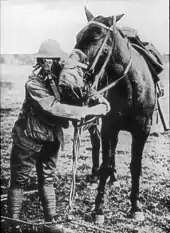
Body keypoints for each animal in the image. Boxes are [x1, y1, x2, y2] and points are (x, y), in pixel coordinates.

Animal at [57, 7, 156, 222]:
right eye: (77, 36)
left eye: (95, 37)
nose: (68, 77)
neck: (131, 88)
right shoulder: (109, 127)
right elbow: (105, 163)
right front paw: (98, 209)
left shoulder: (142, 130)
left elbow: (136, 167)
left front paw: (136, 207)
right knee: (96, 145)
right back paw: (95, 177)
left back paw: (115, 178)